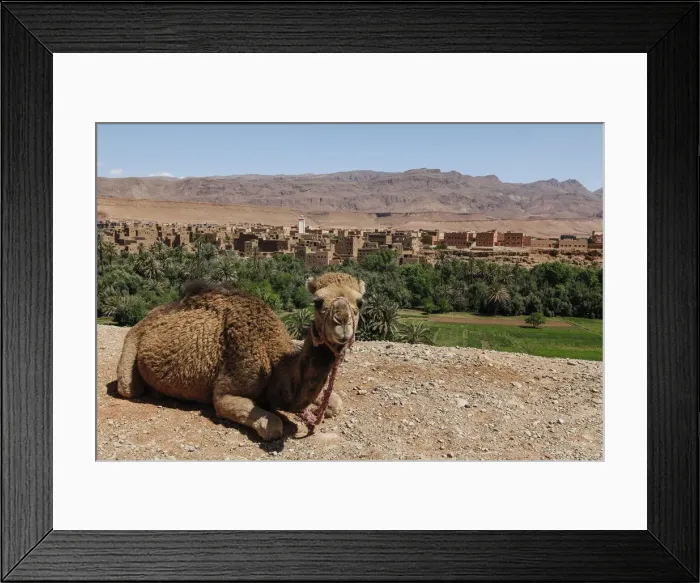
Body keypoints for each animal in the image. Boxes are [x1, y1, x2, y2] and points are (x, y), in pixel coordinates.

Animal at [116, 273, 365, 441]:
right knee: (128, 387)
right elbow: (273, 425)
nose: (342, 321)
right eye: (317, 302)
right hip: (131, 343)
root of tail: (147, 317)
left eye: (360, 302)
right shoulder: (226, 391)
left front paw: (314, 411)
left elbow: (335, 404)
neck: (274, 362)